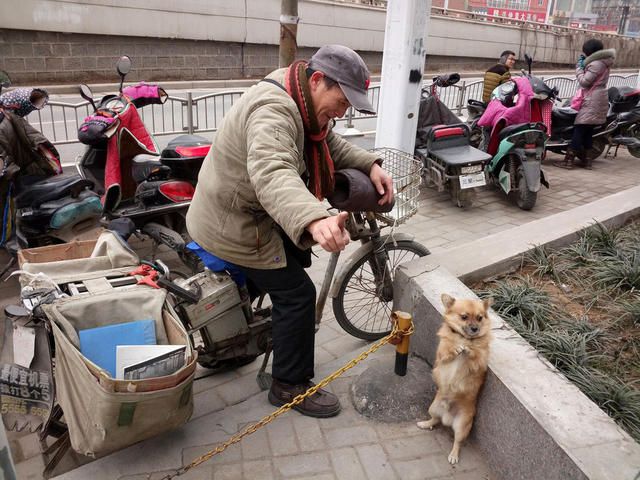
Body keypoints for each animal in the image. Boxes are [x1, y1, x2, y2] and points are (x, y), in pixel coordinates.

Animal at [416, 292, 496, 464]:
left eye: (480, 318)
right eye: (464, 317)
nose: (475, 328)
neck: (464, 338)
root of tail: (448, 417)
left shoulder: (479, 363)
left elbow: (474, 354)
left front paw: (469, 349)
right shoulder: (442, 355)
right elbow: (448, 351)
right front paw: (456, 349)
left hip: (462, 426)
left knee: (457, 442)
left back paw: (453, 455)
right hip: (433, 408)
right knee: (435, 420)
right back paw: (425, 424)